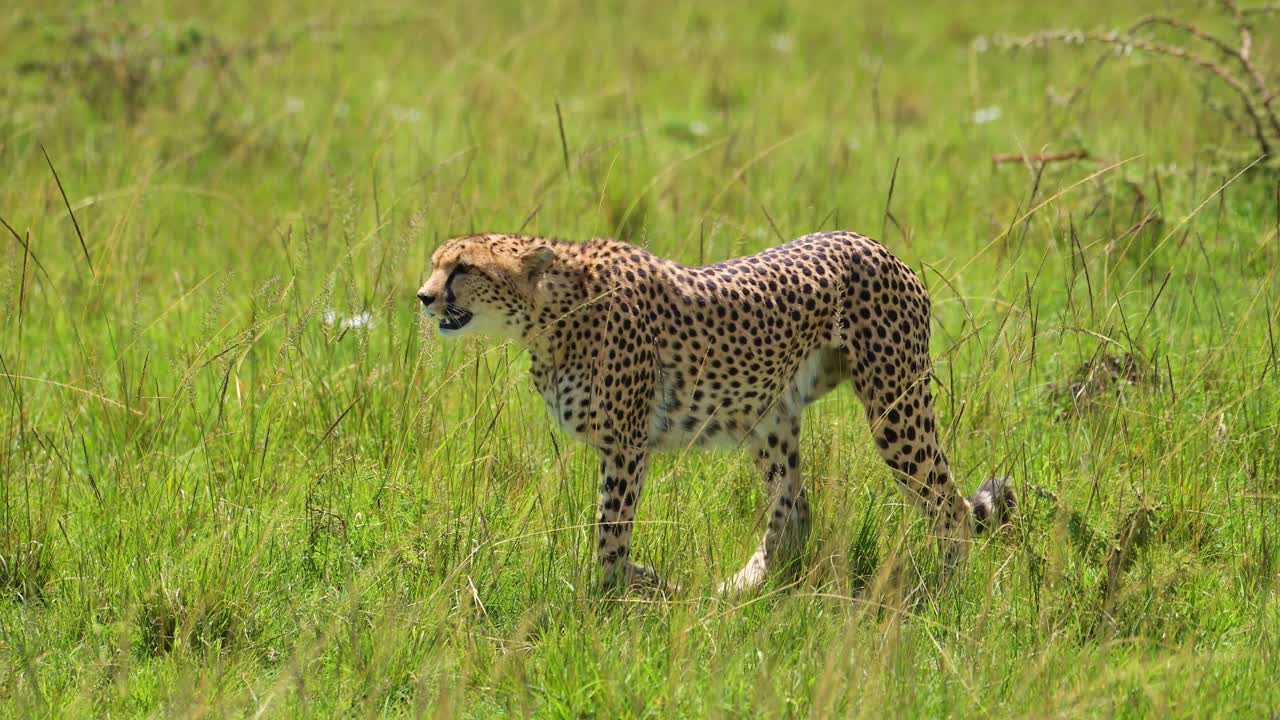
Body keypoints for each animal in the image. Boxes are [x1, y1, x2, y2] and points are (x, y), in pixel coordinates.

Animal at [417, 231, 1013, 593]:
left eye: (463, 268)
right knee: (794, 512)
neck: (551, 313)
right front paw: (641, 586)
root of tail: (874, 244)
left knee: (949, 505)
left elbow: (610, 530)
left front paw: (612, 596)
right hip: (769, 416)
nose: (422, 296)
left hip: (895, 408)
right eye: (436, 265)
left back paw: (947, 590)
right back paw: (739, 590)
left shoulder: (626, 443)